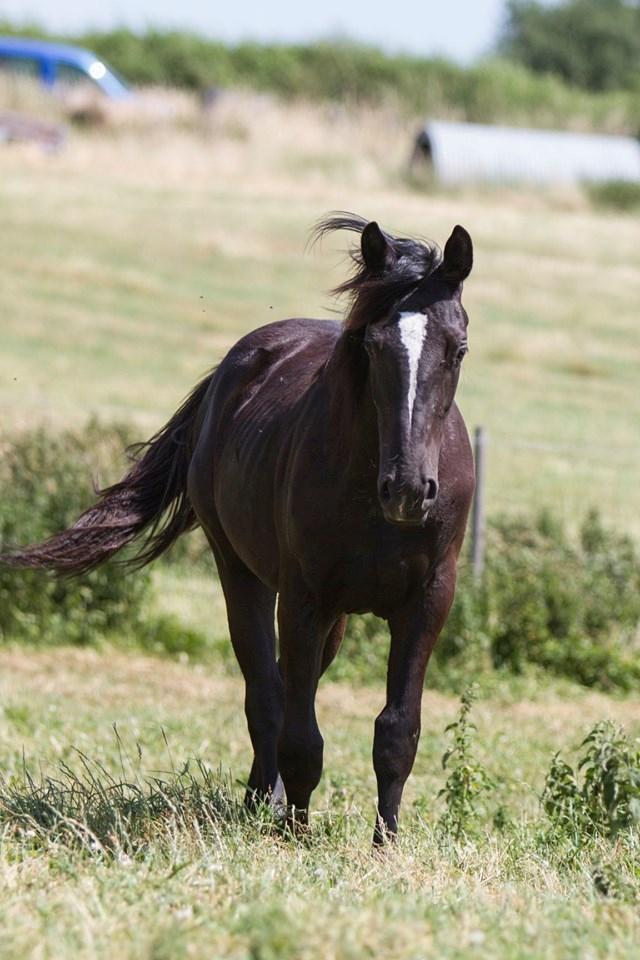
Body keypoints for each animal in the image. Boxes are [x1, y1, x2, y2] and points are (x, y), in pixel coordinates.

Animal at [3, 216, 476, 840]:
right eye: (372, 346)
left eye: (458, 348)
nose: (406, 489)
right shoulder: (303, 598)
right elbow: (300, 732)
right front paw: (295, 834)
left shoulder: (426, 602)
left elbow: (398, 731)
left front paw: (385, 843)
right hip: (242, 575)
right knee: (268, 694)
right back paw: (260, 804)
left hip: (334, 615)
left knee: (287, 685)